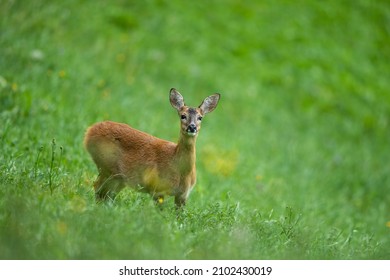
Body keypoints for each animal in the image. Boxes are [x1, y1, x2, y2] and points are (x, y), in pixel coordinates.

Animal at [84, 88, 221, 208]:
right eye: (183, 116)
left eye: (200, 117)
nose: (192, 127)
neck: (180, 169)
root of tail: (89, 132)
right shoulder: (157, 188)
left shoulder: (183, 195)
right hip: (108, 167)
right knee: (98, 187)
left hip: (118, 177)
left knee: (106, 194)